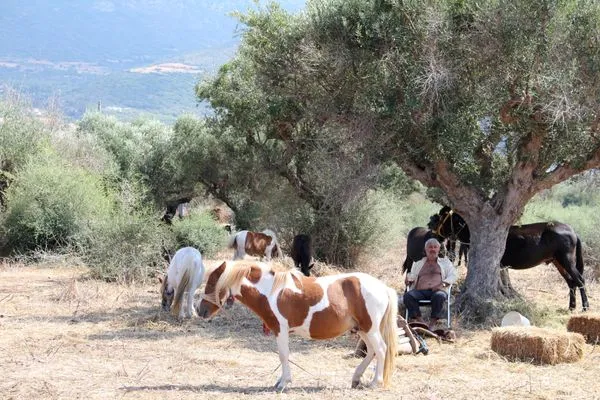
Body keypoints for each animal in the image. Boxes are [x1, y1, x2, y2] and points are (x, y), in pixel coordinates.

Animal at [197, 260, 400, 390]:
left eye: (213, 283)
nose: (200, 310)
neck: (270, 292)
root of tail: (383, 287)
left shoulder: (281, 329)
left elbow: (283, 355)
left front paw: (283, 383)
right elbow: (283, 356)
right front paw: (281, 380)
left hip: (370, 328)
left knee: (381, 350)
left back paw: (375, 383)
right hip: (362, 329)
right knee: (372, 351)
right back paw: (356, 378)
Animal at [428, 208, 588, 310]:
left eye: (441, 216)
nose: (432, 230)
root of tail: (572, 231)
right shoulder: (501, 266)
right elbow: (504, 281)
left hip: (566, 260)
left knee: (580, 280)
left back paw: (585, 307)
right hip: (557, 261)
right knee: (571, 282)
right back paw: (571, 307)